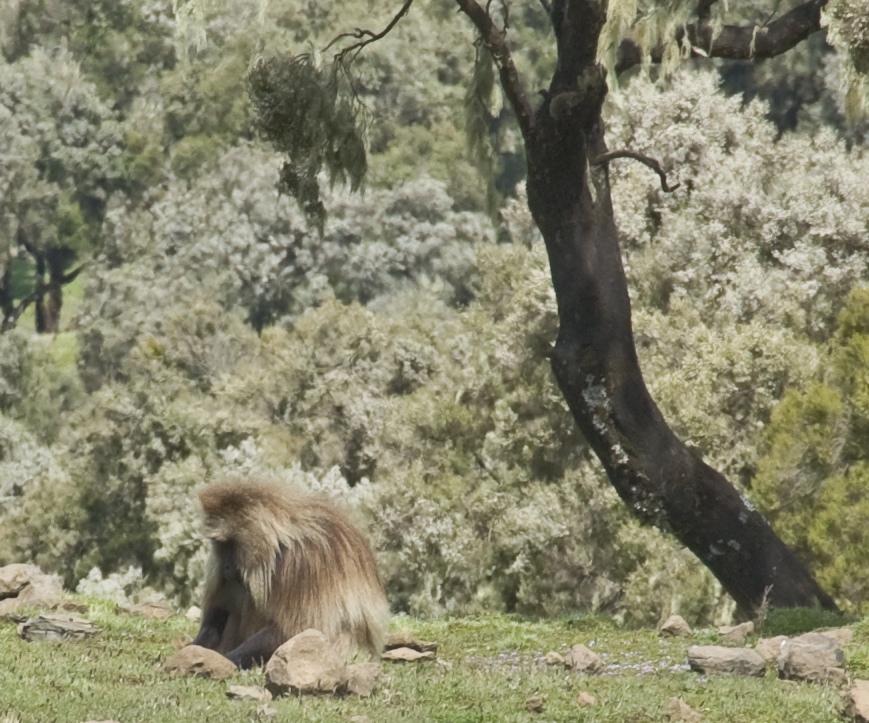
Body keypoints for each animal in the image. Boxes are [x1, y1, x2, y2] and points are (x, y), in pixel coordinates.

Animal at [190, 479, 390, 669]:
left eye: (229, 544)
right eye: (220, 545)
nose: (226, 567)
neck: (278, 543)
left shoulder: (299, 565)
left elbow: (291, 632)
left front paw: (224, 660)